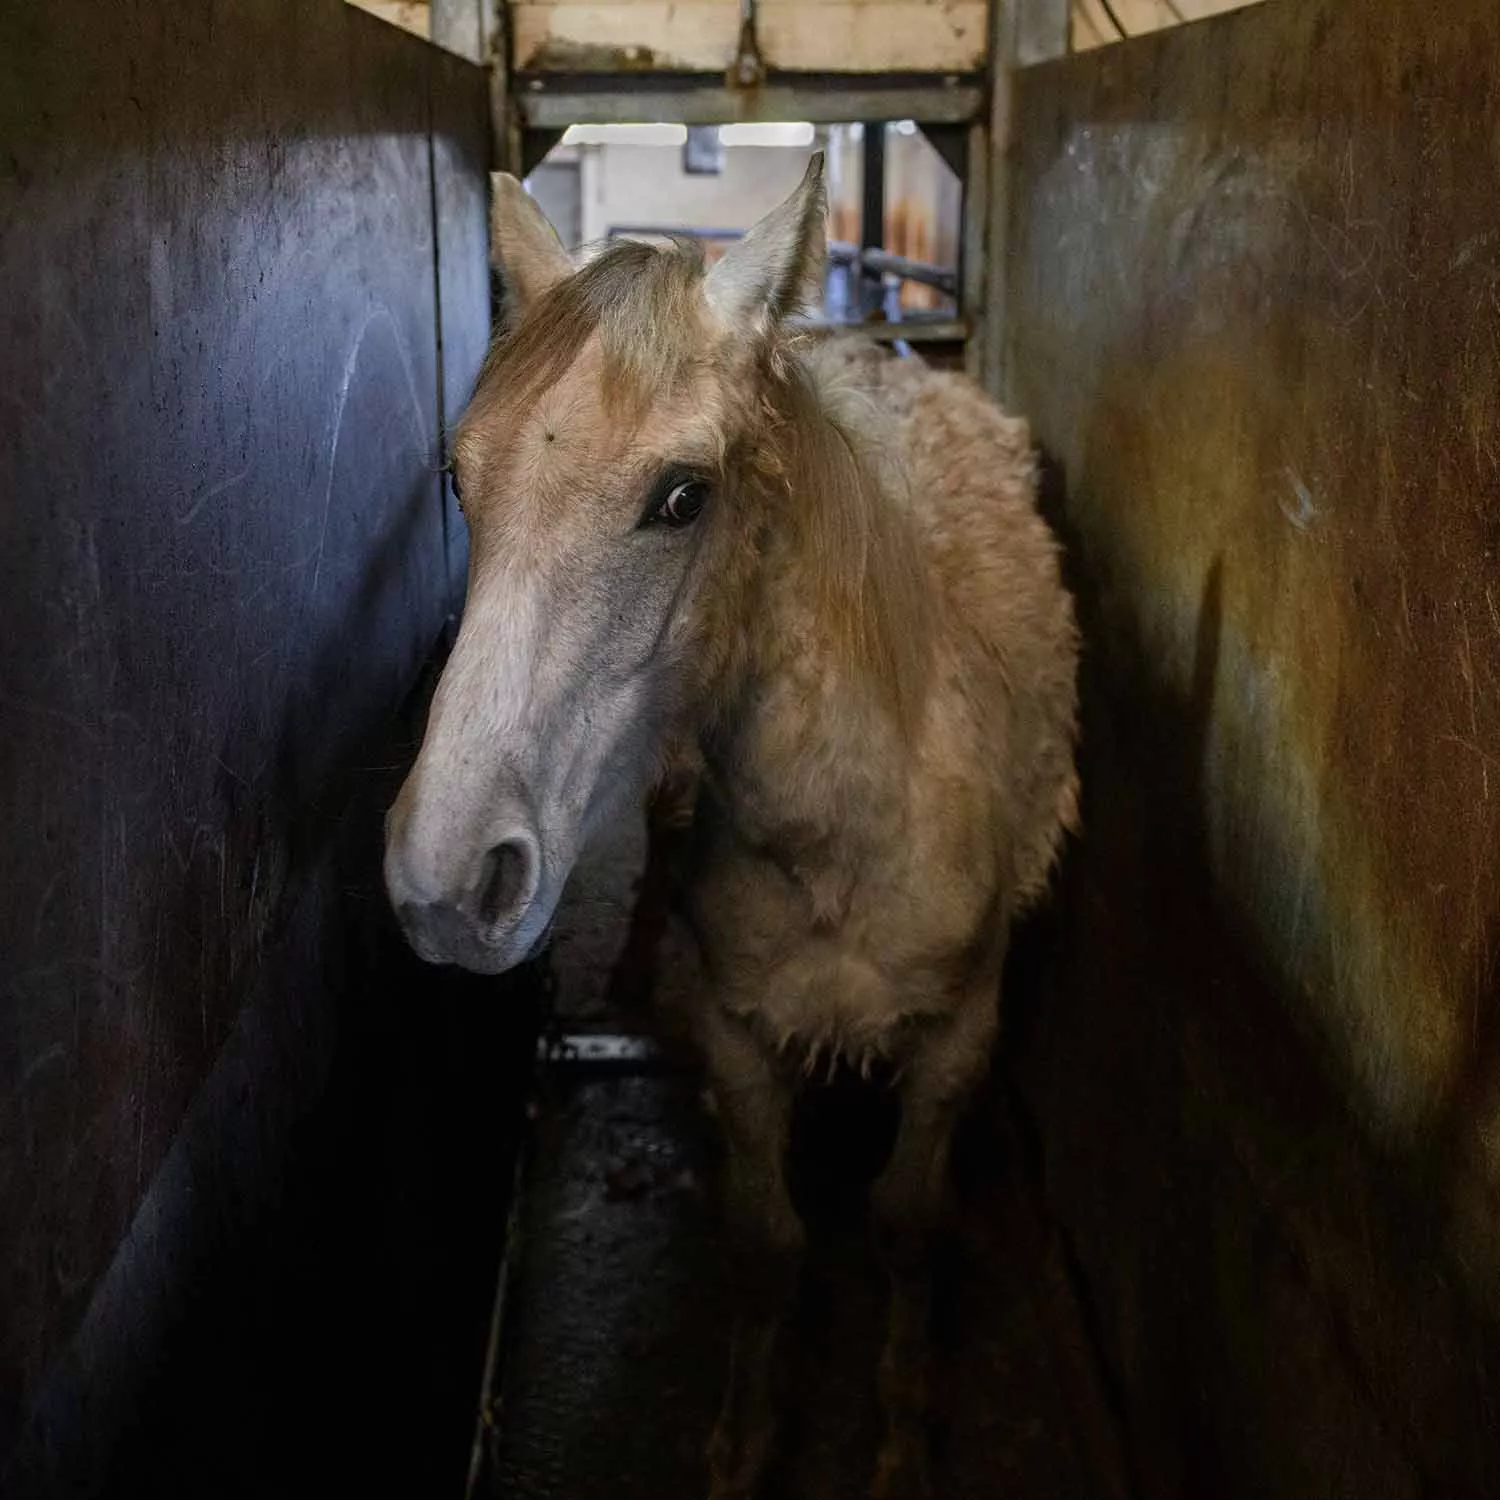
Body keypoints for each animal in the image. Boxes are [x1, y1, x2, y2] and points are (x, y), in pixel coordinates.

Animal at [384, 155, 1080, 1500]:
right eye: (461, 480)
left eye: (681, 497)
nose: (444, 881)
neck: (848, 840)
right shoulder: (742, 1038)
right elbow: (767, 1244)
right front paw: (748, 1441)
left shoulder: (958, 1039)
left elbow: (907, 1228)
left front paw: (902, 1435)